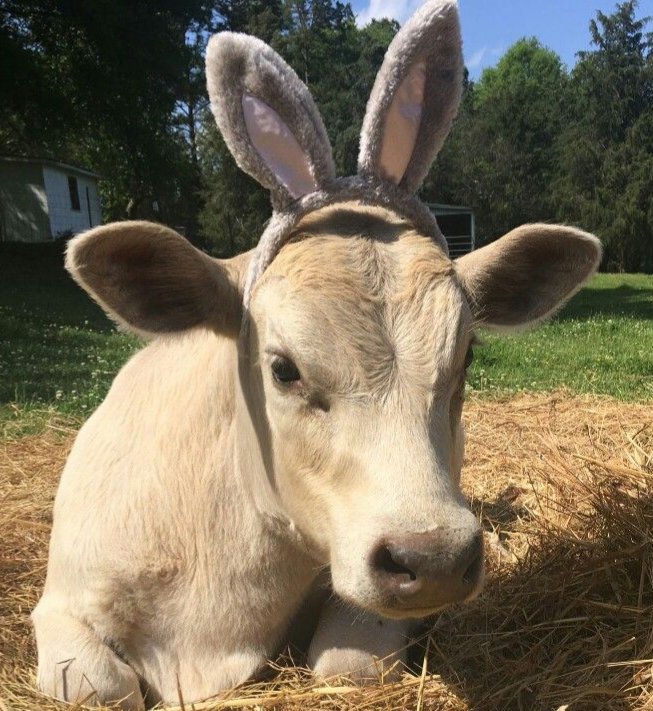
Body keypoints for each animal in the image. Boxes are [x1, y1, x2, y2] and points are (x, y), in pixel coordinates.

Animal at [31, 2, 601, 708]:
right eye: (283, 369)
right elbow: (101, 686)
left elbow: (347, 664)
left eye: (466, 357)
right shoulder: (61, 604)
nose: (435, 559)